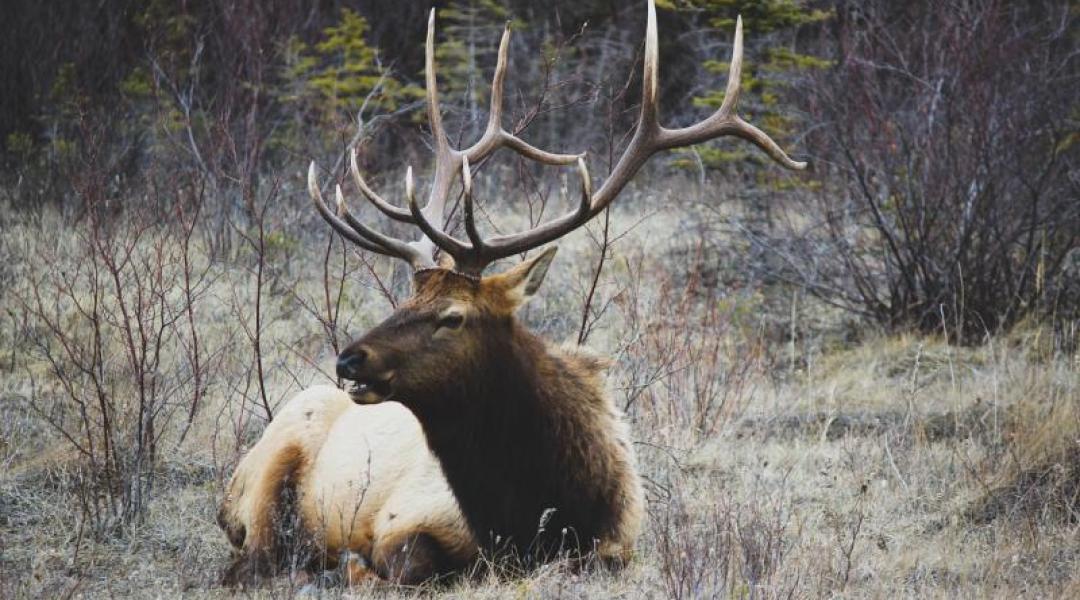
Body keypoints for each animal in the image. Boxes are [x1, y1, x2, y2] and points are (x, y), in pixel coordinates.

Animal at [217, 0, 803, 582]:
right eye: (405, 301)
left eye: (452, 316)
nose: (349, 359)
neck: (535, 514)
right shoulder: (402, 519)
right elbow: (396, 562)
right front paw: (351, 564)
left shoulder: (617, 547)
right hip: (267, 476)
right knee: (252, 558)